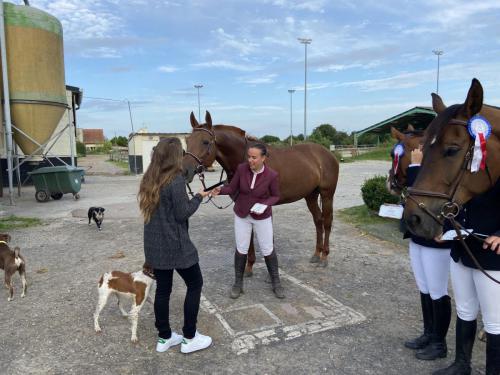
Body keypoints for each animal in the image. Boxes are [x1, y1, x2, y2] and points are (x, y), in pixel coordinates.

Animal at [184, 110, 340, 274]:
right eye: (188, 141)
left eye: (205, 142)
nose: (185, 171)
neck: (248, 163)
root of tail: (327, 153)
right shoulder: (244, 204)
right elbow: (249, 234)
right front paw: (249, 266)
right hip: (310, 195)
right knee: (318, 220)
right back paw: (316, 254)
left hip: (327, 195)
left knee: (327, 221)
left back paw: (324, 257)